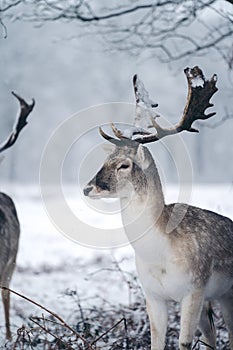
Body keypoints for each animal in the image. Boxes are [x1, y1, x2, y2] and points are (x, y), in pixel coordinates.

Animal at [83, 66, 233, 350]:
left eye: (124, 165)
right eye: (107, 159)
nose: (88, 188)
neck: (158, 253)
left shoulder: (194, 288)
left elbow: (184, 343)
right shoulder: (153, 294)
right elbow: (156, 340)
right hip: (217, 297)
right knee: (213, 335)